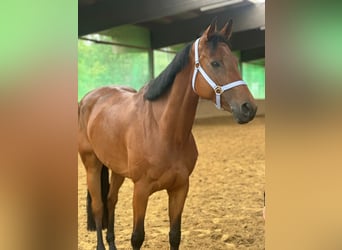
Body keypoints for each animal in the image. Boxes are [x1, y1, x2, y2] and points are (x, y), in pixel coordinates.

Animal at [78, 19, 256, 250]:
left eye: (235, 61)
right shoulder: (141, 191)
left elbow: (174, 235)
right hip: (91, 164)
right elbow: (137, 237)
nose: (248, 108)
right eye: (216, 63)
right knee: (99, 206)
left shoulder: (180, 188)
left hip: (117, 170)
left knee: (110, 201)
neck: (164, 131)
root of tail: (89, 98)